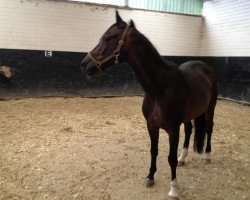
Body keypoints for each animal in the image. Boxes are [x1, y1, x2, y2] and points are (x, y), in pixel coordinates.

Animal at [81, 11, 217, 199]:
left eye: (109, 37)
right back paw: (183, 158)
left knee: (209, 129)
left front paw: (174, 189)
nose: (84, 64)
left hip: (210, 108)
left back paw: (207, 156)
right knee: (190, 130)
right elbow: (154, 151)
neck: (160, 89)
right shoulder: (151, 126)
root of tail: (205, 66)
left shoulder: (173, 129)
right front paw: (150, 177)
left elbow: (170, 158)